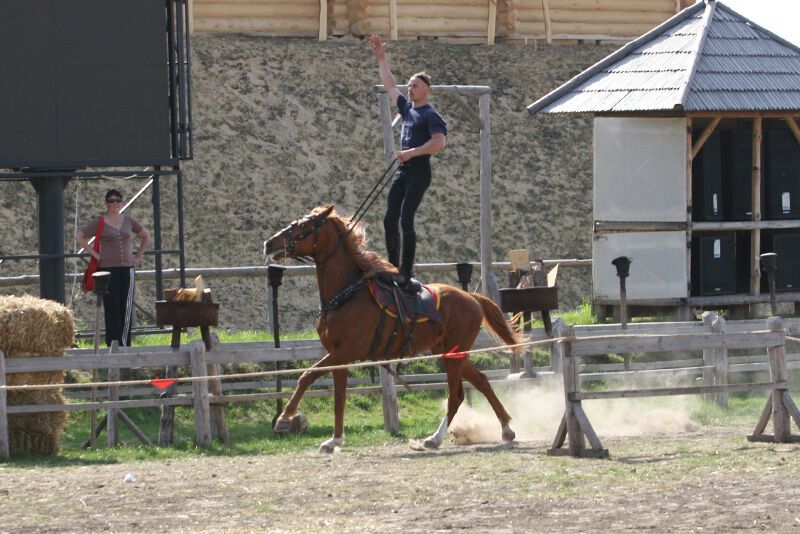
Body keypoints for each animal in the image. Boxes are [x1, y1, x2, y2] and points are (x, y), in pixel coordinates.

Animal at [266, 207, 520, 454]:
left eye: (304, 226)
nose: (269, 243)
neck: (347, 294)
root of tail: (472, 298)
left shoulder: (345, 351)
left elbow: (307, 376)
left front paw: (285, 418)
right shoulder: (339, 357)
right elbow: (339, 398)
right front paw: (335, 440)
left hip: (454, 355)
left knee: (456, 395)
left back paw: (435, 439)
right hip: (450, 352)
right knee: (481, 382)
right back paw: (506, 429)